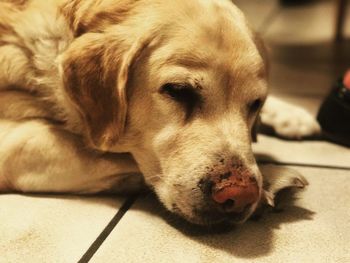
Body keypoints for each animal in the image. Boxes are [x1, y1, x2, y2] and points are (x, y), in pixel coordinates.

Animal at [0, 0, 318, 227]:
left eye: (255, 104)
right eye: (178, 90)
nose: (240, 196)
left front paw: (289, 114)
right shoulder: (16, 143)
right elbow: (119, 158)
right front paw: (272, 178)